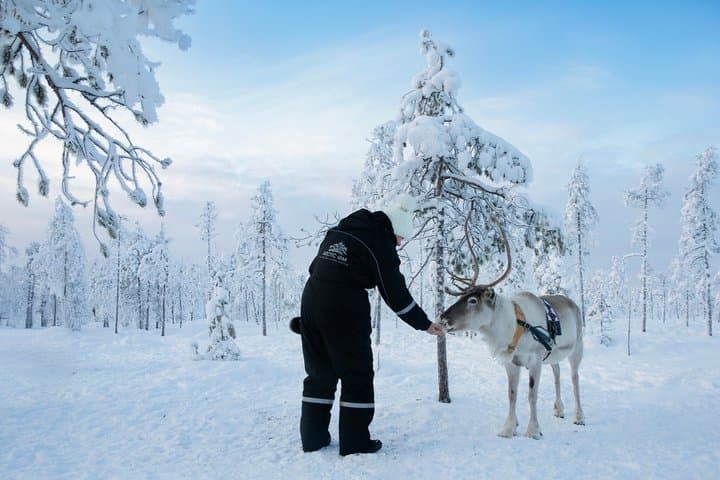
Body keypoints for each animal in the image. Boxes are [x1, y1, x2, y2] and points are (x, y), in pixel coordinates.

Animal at [439, 213, 585, 439]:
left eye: (473, 300)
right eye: (461, 296)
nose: (443, 318)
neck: (509, 328)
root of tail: (573, 303)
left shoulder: (534, 360)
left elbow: (531, 395)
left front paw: (533, 430)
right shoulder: (511, 363)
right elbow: (512, 394)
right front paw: (509, 427)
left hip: (577, 348)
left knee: (574, 378)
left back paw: (579, 416)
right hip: (552, 355)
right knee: (557, 373)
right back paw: (559, 409)